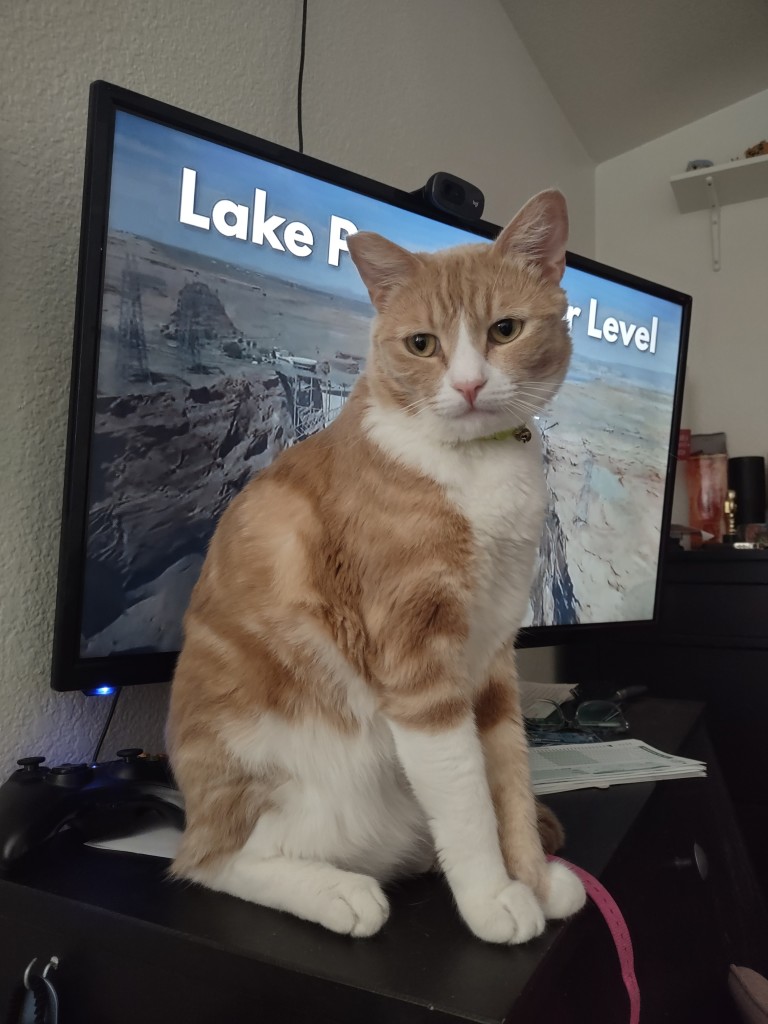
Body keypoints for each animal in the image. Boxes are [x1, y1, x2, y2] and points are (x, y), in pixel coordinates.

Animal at [167, 188, 585, 937]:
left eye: (505, 330)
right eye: (422, 344)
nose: (469, 385)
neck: (475, 468)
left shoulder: (493, 656)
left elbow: (508, 778)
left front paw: (533, 880)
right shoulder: (415, 659)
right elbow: (467, 797)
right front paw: (491, 899)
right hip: (286, 779)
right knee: (213, 861)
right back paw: (338, 893)